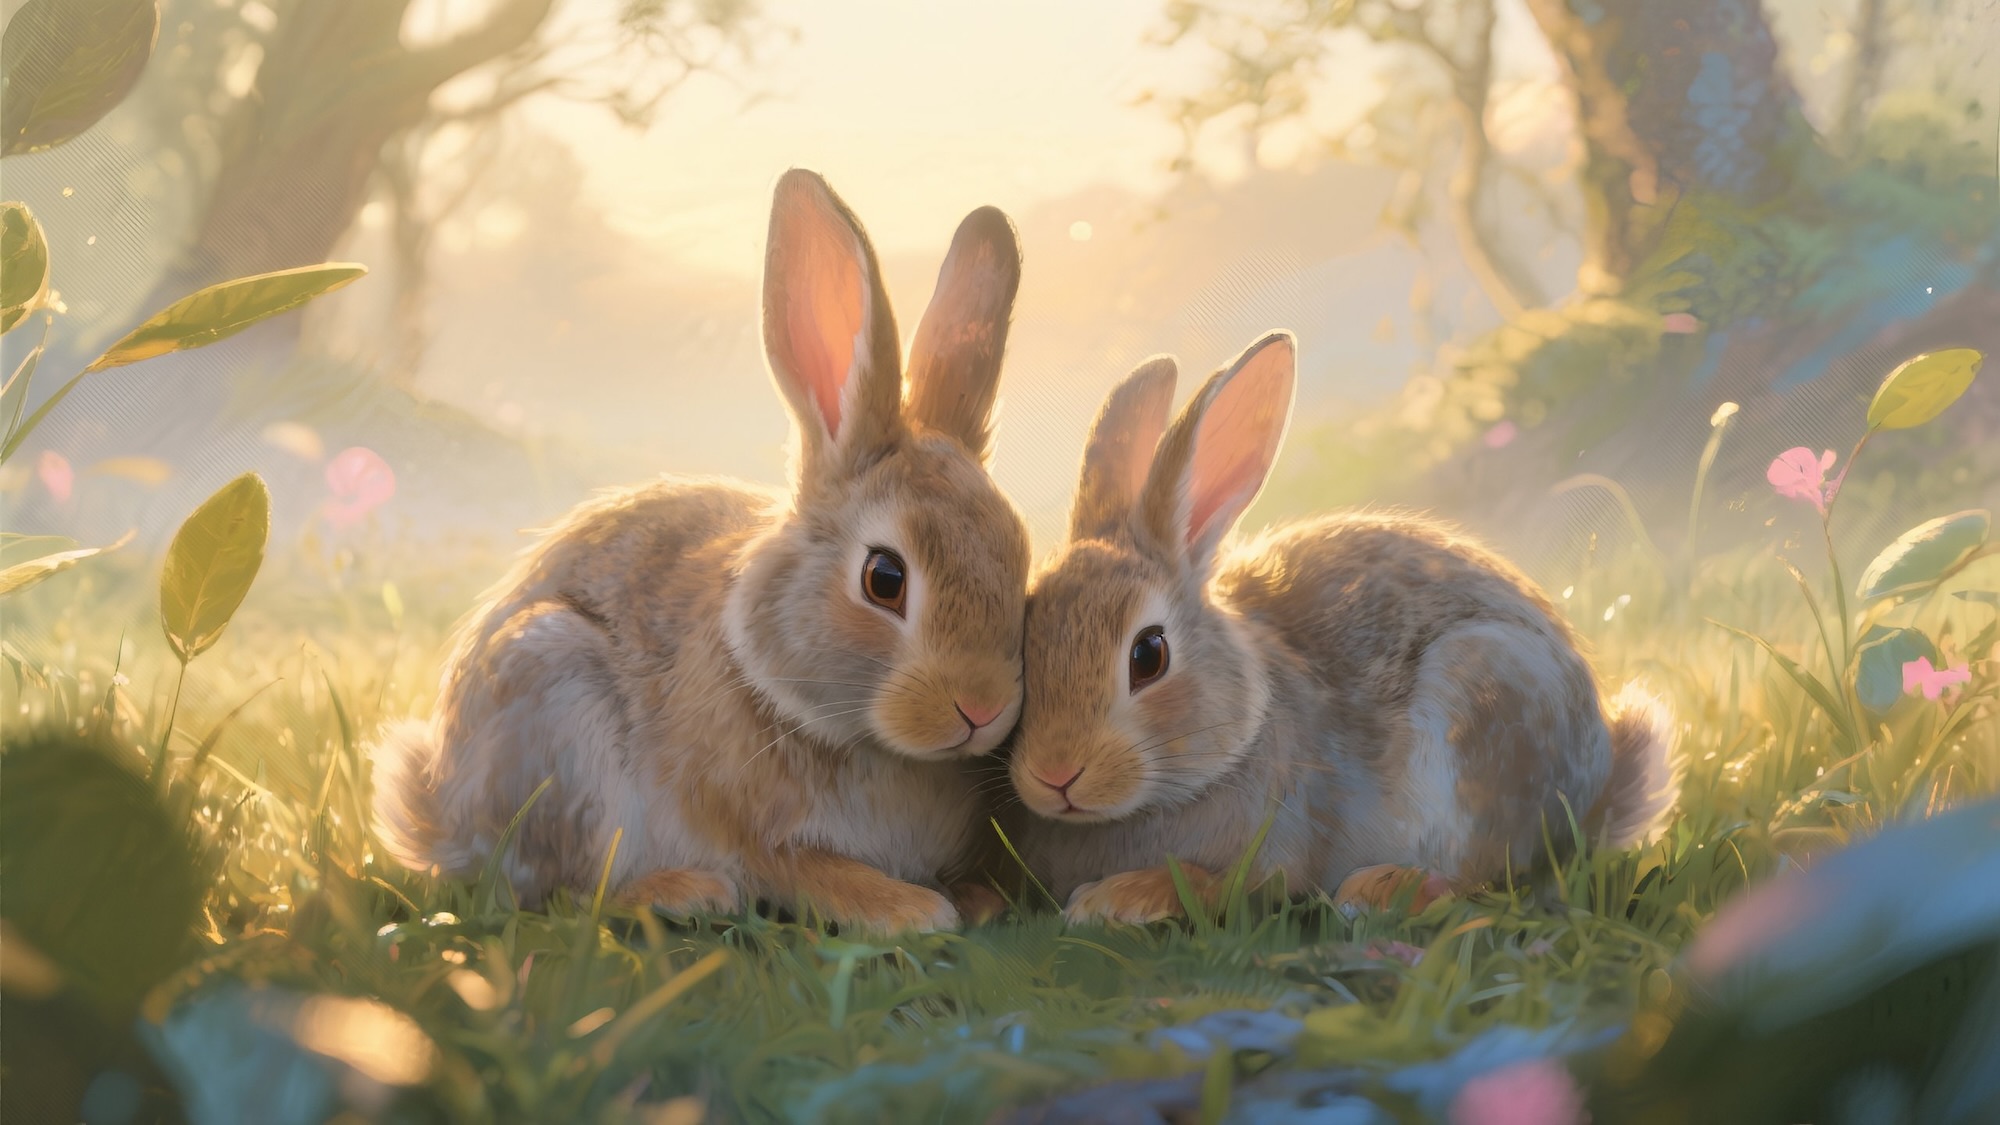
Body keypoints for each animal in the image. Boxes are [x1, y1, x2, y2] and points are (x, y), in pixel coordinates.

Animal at [370, 169, 1033, 935]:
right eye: (884, 578)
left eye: (1022, 557)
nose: (981, 708)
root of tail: (435, 810)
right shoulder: (758, 837)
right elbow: (808, 871)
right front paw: (913, 908)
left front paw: (977, 899)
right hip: (554, 699)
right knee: (566, 893)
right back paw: (685, 892)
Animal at [1002, 331, 1680, 925]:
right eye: (1024, 638)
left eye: (1149, 655)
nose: (1055, 774)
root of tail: (1598, 790)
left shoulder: (1271, 853)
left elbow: (1216, 885)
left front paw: (1113, 900)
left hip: (1484, 706)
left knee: (1484, 875)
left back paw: (1379, 890)